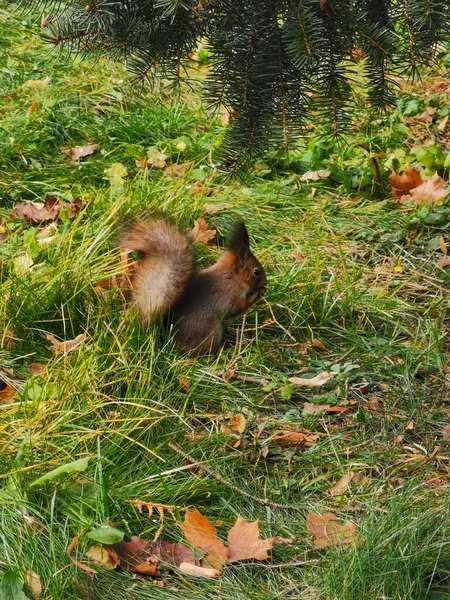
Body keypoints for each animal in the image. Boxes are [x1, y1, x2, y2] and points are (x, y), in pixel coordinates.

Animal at [120, 219, 268, 352]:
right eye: (256, 271)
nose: (266, 283)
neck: (232, 277)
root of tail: (166, 341)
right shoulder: (230, 294)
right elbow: (236, 308)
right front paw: (257, 294)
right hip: (210, 334)